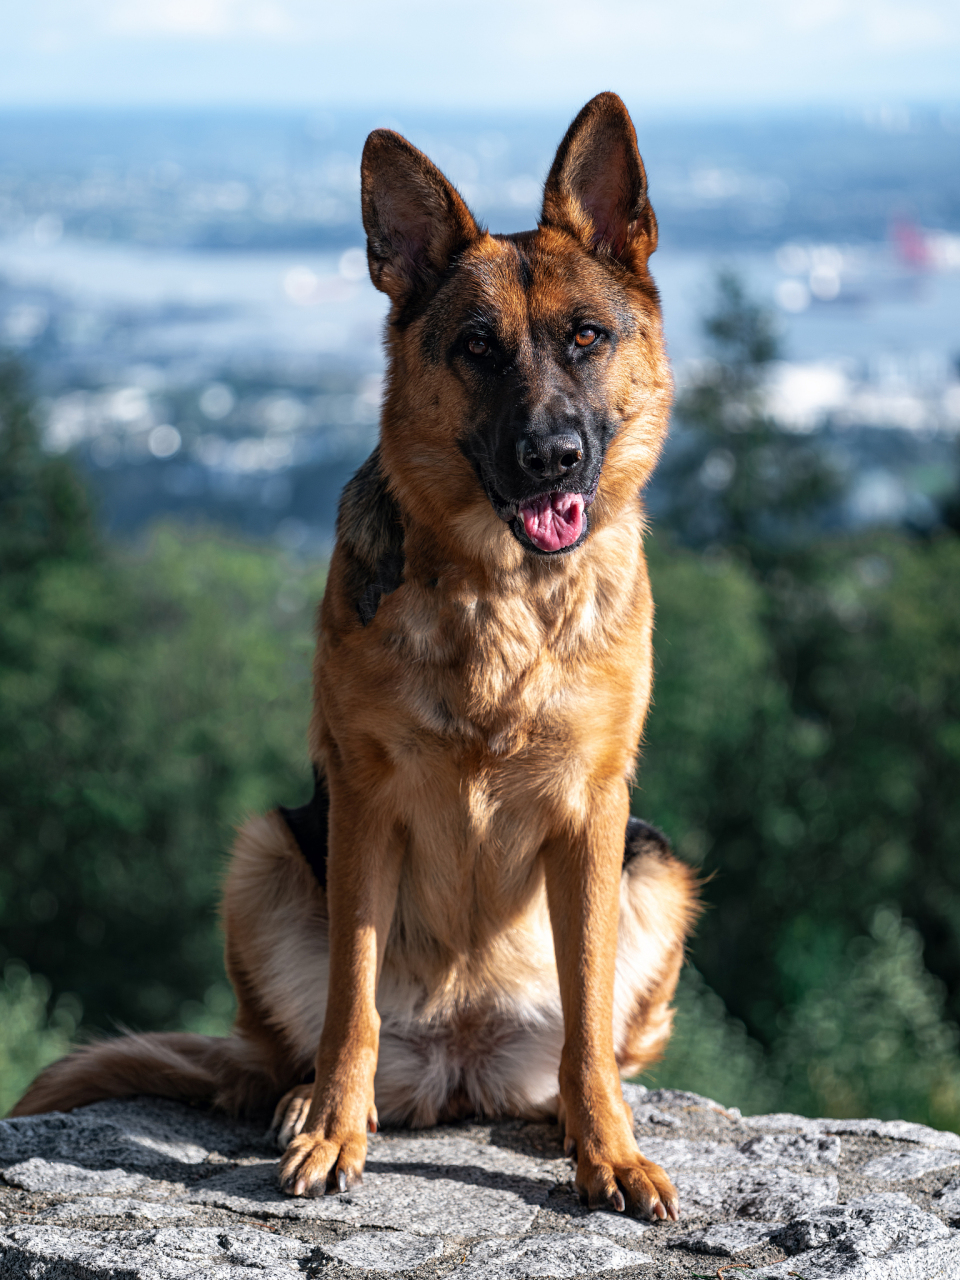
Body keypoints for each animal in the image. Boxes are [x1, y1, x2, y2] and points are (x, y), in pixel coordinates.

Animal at [13, 92, 701, 1218]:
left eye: (586, 338)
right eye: (477, 348)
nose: (551, 457)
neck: (499, 593)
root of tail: (462, 1064)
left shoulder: (595, 812)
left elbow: (591, 1009)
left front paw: (609, 1147)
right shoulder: (365, 802)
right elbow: (350, 1000)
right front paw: (335, 1126)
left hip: (657, 868)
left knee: (586, 1040)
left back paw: (570, 1109)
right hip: (265, 852)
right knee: (292, 1043)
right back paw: (304, 1098)